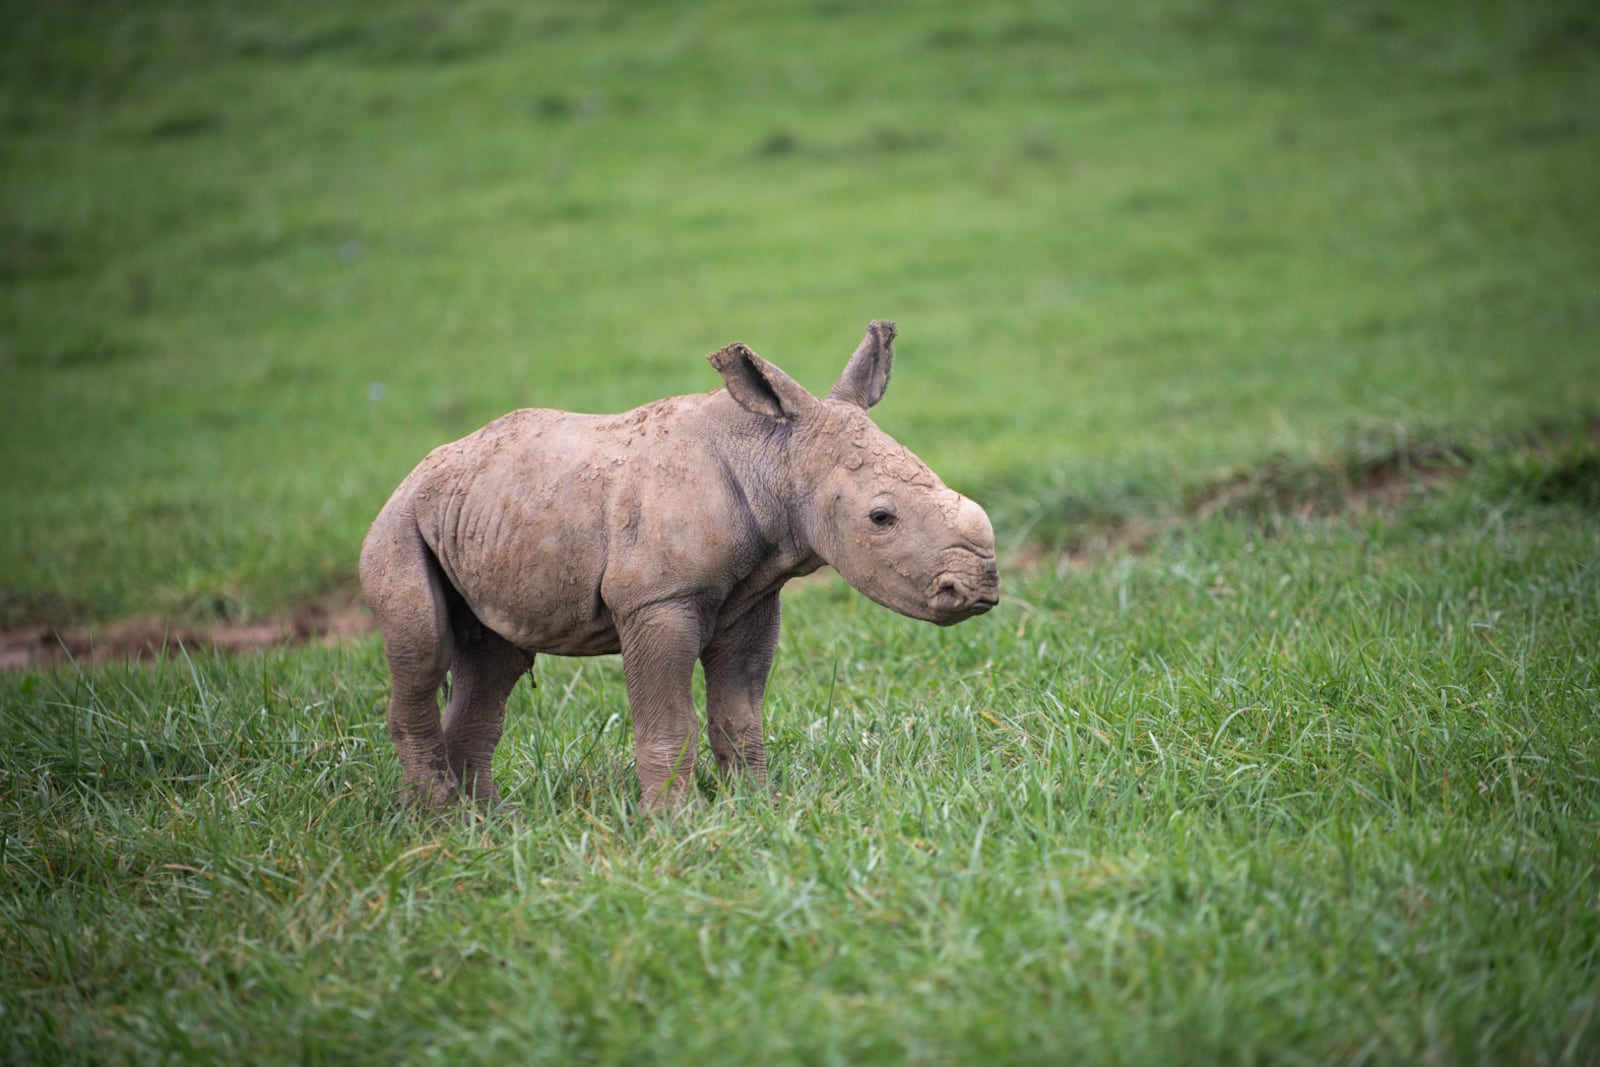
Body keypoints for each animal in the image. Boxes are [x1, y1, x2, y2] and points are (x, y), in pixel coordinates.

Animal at [360, 321, 998, 812]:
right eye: (881, 517)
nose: (979, 590)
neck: (775, 454)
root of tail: (414, 476)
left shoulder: (754, 597)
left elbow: (738, 714)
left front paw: (758, 807)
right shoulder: (659, 599)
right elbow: (669, 719)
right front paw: (675, 821)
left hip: (479, 513)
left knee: (495, 662)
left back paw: (490, 821)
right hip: (398, 525)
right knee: (424, 650)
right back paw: (440, 820)